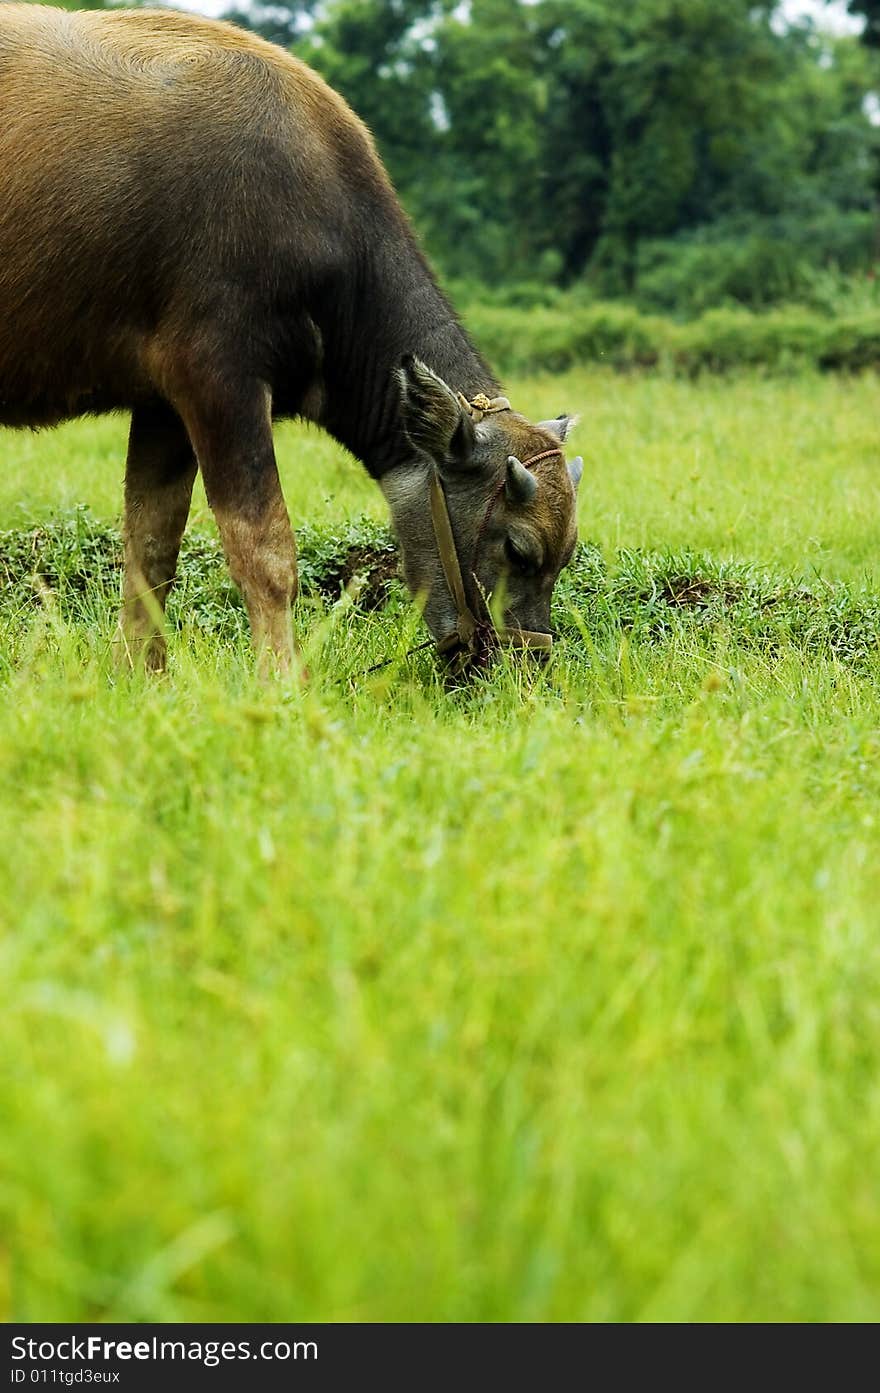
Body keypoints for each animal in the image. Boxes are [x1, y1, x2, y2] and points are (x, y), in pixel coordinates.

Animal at [1, 2, 584, 671]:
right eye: (518, 549)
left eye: (564, 558)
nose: (527, 663)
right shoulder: (219, 379)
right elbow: (265, 548)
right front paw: (281, 678)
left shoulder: (162, 405)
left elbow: (150, 548)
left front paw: (139, 674)